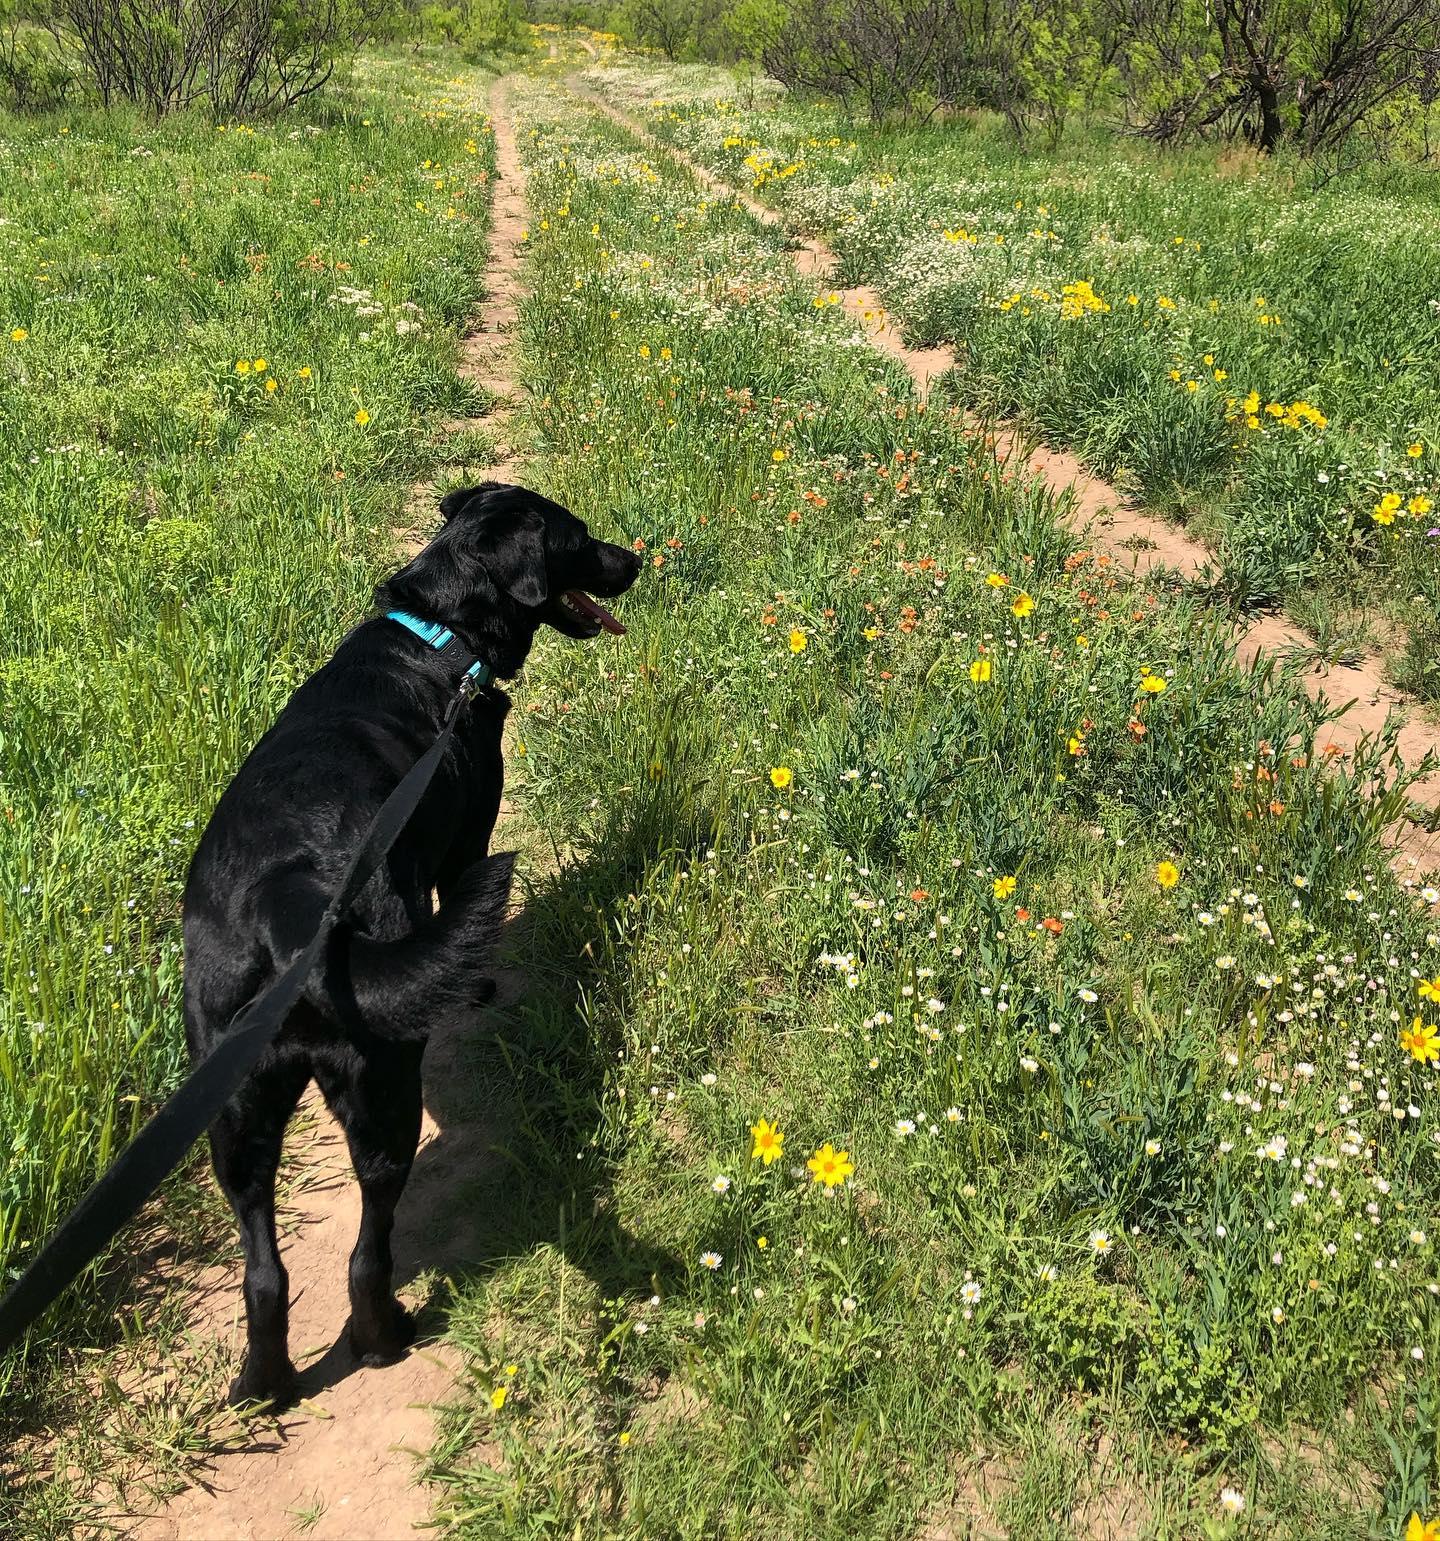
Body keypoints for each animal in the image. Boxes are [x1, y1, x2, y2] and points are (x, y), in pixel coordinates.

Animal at [181, 480, 641, 1411]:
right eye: (578, 537)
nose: (637, 559)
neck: (440, 636)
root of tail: (287, 900)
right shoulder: (468, 838)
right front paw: (479, 987)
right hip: (380, 1089)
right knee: (367, 1248)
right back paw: (384, 1335)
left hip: (235, 1111)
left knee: (264, 1271)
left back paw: (263, 1383)